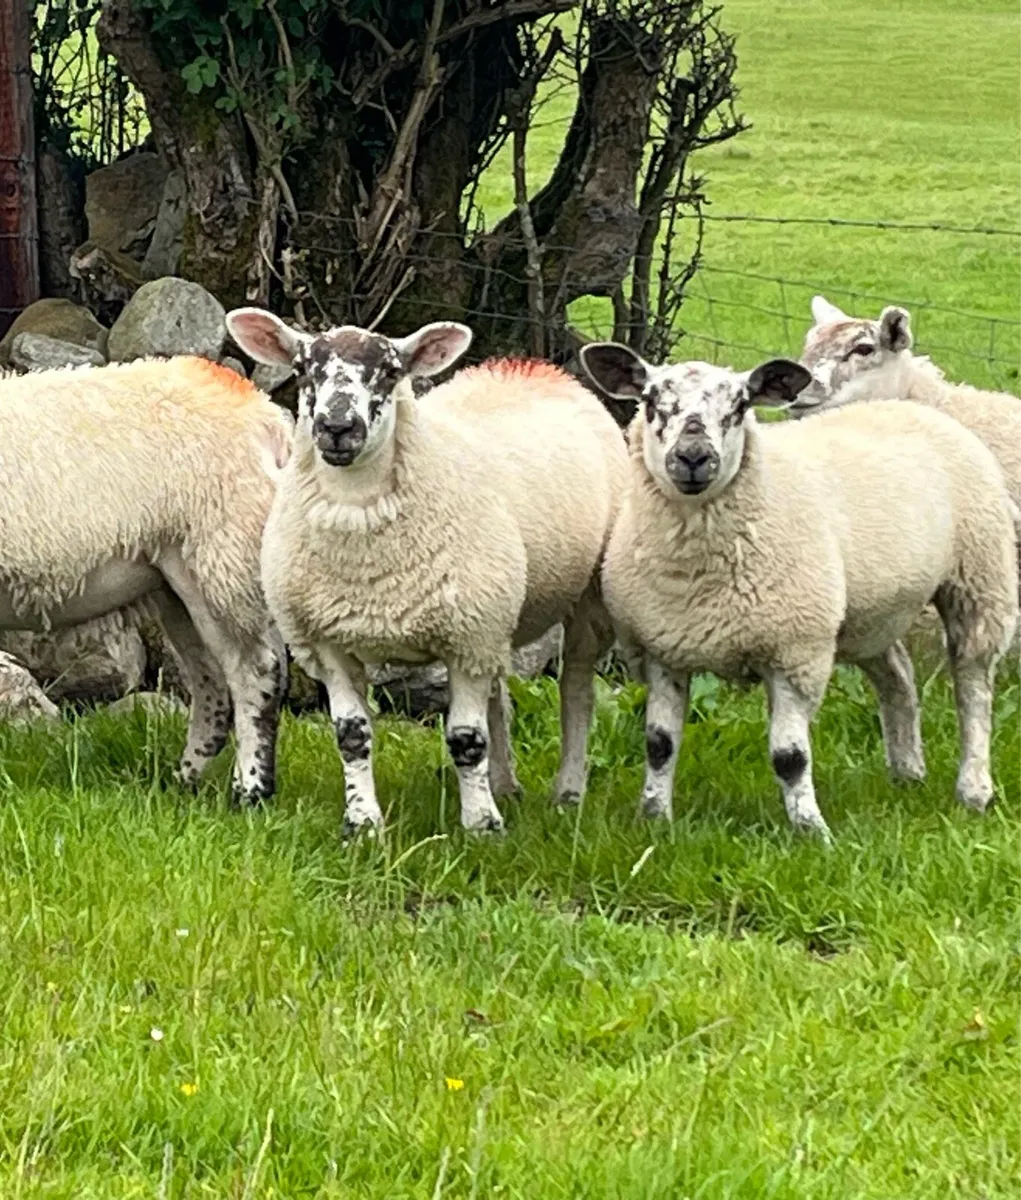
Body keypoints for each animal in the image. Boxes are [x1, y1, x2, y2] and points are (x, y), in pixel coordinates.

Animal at [0, 356, 292, 803]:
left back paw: (249, 793)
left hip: (217, 556)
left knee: (255, 673)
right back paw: (183, 782)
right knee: (211, 679)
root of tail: (263, 411)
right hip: (179, 582)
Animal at [225, 308, 628, 836]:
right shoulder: (330, 643)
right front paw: (363, 823)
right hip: (493, 614)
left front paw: (481, 826)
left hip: (582, 600)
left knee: (576, 692)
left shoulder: (466, 641)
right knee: (499, 693)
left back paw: (567, 792)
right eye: (303, 368)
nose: (337, 427)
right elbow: (351, 735)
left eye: (390, 371)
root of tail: (532, 367)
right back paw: (504, 785)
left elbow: (465, 739)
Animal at [579, 343, 1018, 841]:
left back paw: (974, 789)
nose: (693, 457)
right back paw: (907, 772)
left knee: (974, 687)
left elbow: (789, 757)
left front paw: (812, 832)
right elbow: (659, 744)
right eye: (652, 401)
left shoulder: (795, 652)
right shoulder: (662, 651)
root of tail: (912, 406)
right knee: (898, 678)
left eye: (740, 406)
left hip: (980, 578)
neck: (696, 579)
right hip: (867, 613)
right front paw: (654, 819)